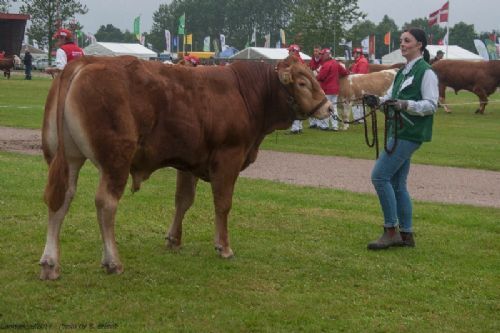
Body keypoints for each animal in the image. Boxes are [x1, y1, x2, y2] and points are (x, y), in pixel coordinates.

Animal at [40, 54, 332, 278]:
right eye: (303, 82)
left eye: (314, 76)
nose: (328, 107)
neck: (245, 93)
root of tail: (85, 61)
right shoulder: (229, 157)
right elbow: (223, 204)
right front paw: (223, 247)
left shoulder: (189, 161)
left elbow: (183, 200)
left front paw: (173, 240)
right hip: (116, 159)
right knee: (105, 203)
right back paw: (112, 261)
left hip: (68, 158)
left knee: (62, 199)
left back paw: (50, 263)